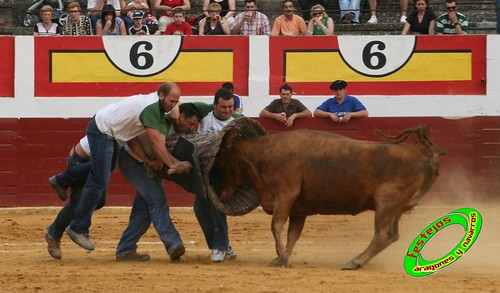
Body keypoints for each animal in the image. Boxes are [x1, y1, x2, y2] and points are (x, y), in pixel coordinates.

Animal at [209, 122, 444, 268]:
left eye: (221, 162)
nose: (221, 193)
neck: (262, 155)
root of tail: (425, 155)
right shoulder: (298, 210)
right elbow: (293, 234)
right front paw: (284, 257)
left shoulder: (285, 195)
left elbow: (276, 226)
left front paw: (281, 257)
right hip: (396, 208)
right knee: (392, 235)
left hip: (386, 204)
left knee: (381, 235)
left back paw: (354, 262)